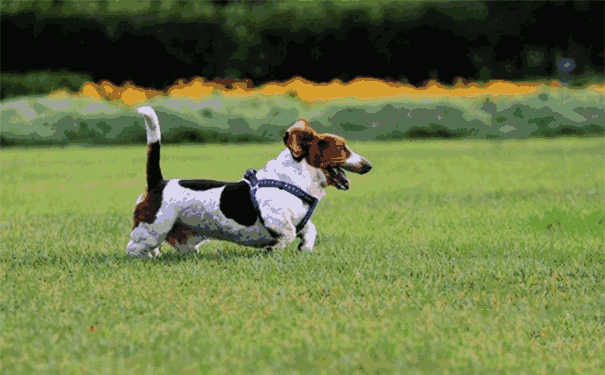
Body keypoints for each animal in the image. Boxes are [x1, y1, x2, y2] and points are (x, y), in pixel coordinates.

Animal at [127, 106, 370, 258]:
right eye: (342, 148)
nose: (368, 165)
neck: (295, 181)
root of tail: (158, 183)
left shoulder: (302, 221)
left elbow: (310, 230)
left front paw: (305, 248)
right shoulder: (276, 219)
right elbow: (288, 233)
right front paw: (273, 249)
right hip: (152, 229)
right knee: (133, 248)